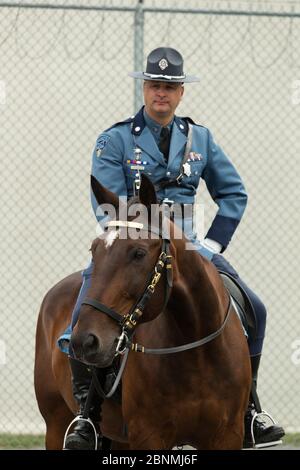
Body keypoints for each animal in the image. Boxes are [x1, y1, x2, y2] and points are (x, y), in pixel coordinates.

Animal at [34, 174, 251, 450]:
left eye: (139, 253)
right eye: (94, 249)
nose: (85, 341)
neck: (197, 354)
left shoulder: (228, 435)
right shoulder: (148, 435)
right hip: (56, 424)